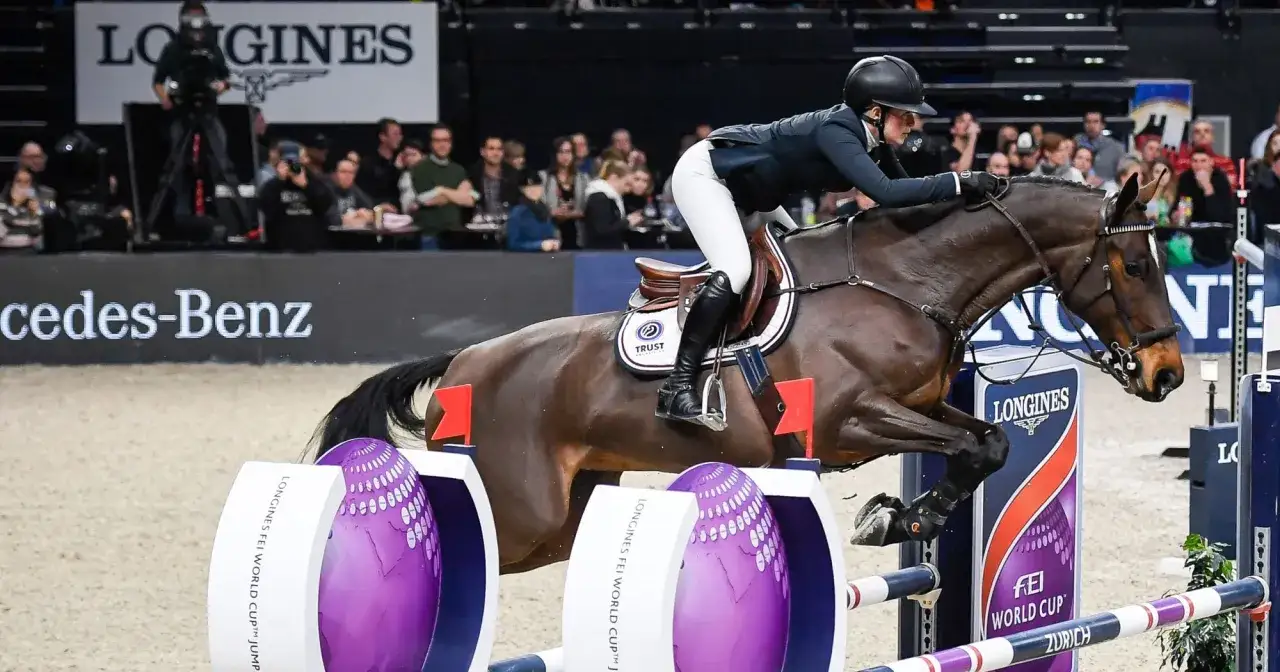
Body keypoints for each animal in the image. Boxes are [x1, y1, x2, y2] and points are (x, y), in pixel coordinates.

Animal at [311, 173, 1184, 574]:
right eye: (1137, 264)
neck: (904, 282)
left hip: (564, 513)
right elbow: (974, 448)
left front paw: (903, 519)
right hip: (521, 509)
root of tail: (465, 361)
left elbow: (988, 444)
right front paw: (892, 518)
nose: (1170, 373)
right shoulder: (846, 421)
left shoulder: (925, 409)